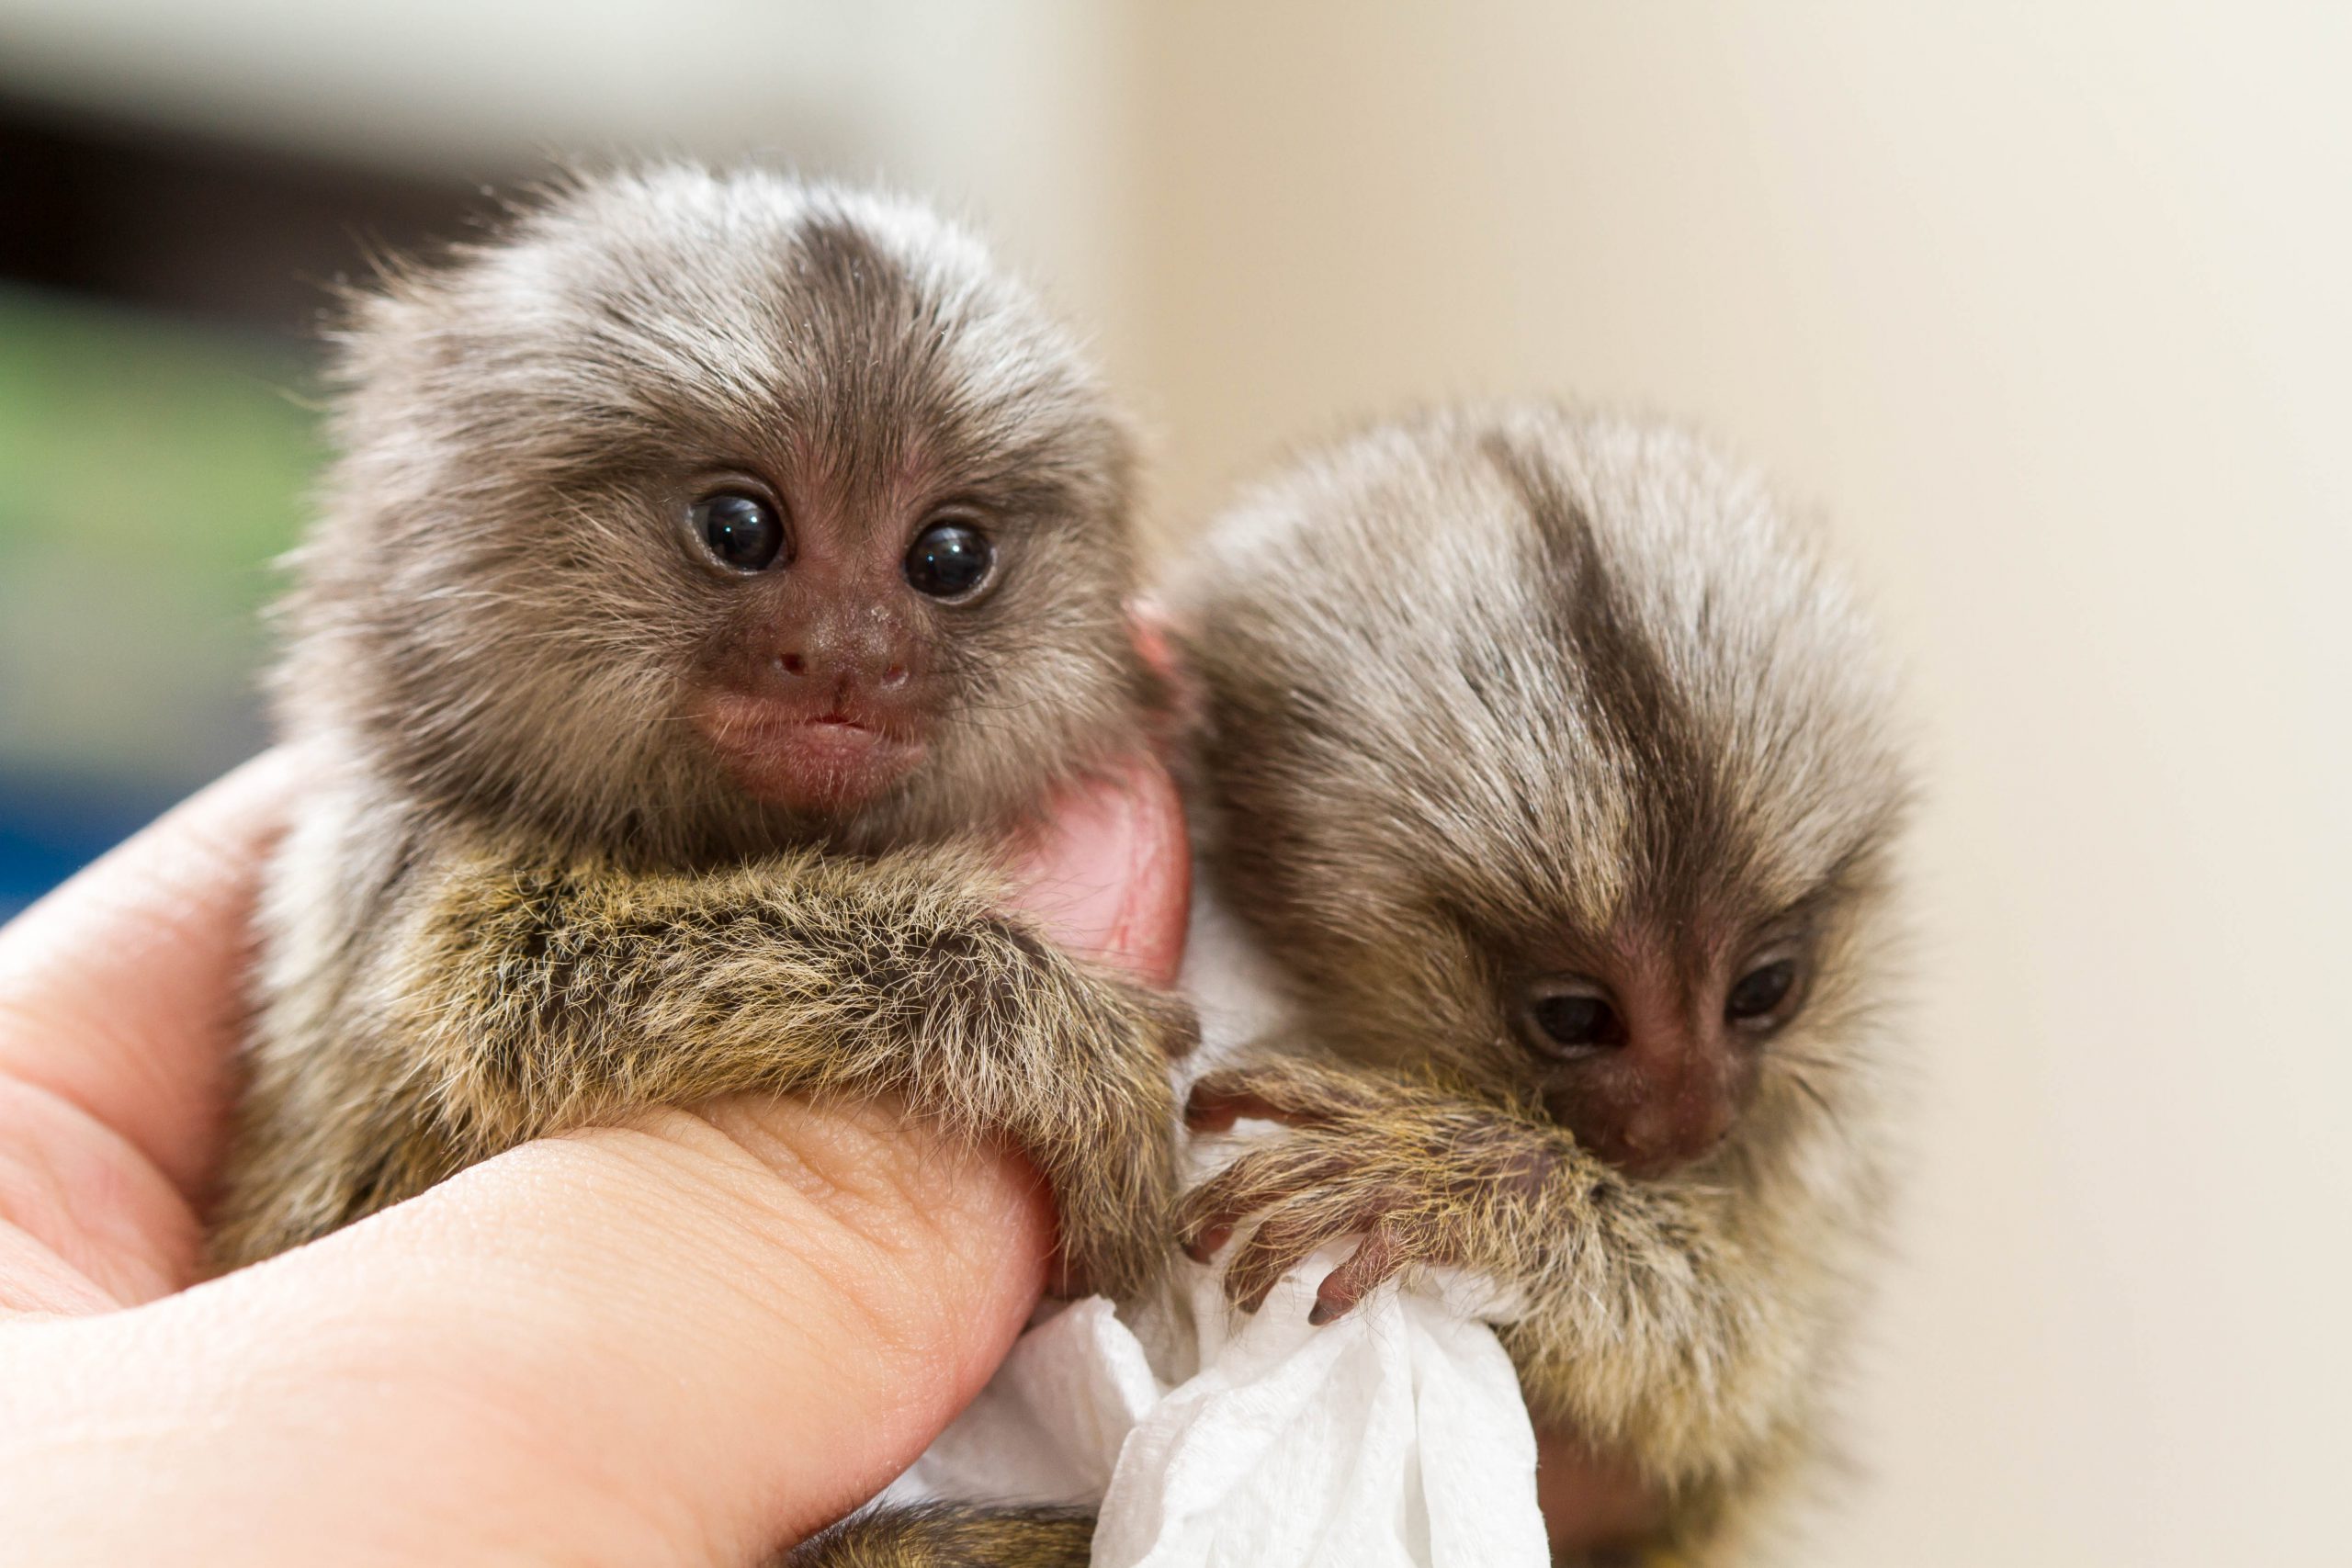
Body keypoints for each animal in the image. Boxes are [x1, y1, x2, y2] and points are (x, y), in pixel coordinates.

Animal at [206, 165, 1193, 1339]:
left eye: (948, 558)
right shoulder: (407, 866)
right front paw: (1050, 1027)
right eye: (738, 529)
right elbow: (515, 995)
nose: (851, 655)